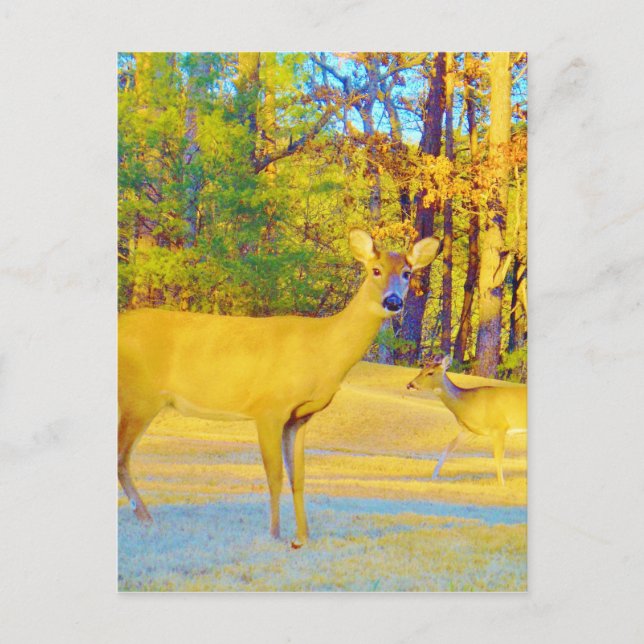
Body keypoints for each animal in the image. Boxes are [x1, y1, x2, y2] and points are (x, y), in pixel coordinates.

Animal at [119, 229, 440, 548]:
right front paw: (275, 533)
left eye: (407, 273)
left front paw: (304, 536)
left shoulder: (299, 417)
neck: (323, 351)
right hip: (139, 396)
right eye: (376, 270)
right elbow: (274, 475)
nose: (393, 302)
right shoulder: (269, 408)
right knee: (121, 457)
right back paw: (147, 518)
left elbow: (299, 476)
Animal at [406, 355, 527, 485]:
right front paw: (433, 477)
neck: (469, 404)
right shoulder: (469, 430)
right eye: (421, 370)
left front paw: (502, 485)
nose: (410, 385)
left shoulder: (499, 427)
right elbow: (448, 448)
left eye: (430, 373)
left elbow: (498, 457)